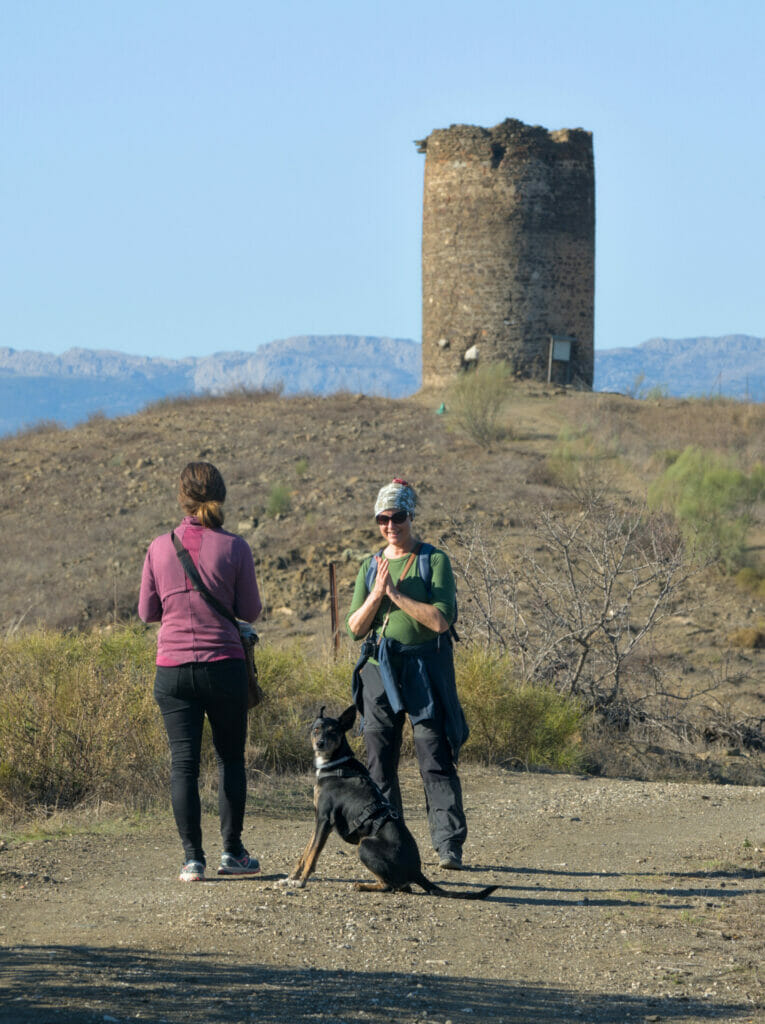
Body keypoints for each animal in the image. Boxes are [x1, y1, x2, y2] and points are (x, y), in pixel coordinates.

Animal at [282, 704, 497, 897]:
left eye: (333, 732)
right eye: (316, 729)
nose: (320, 743)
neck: (335, 764)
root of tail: (416, 871)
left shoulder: (325, 820)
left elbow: (312, 855)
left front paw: (301, 881)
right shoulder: (319, 819)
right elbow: (306, 852)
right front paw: (291, 877)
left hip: (365, 845)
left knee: (392, 886)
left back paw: (361, 886)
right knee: (401, 886)